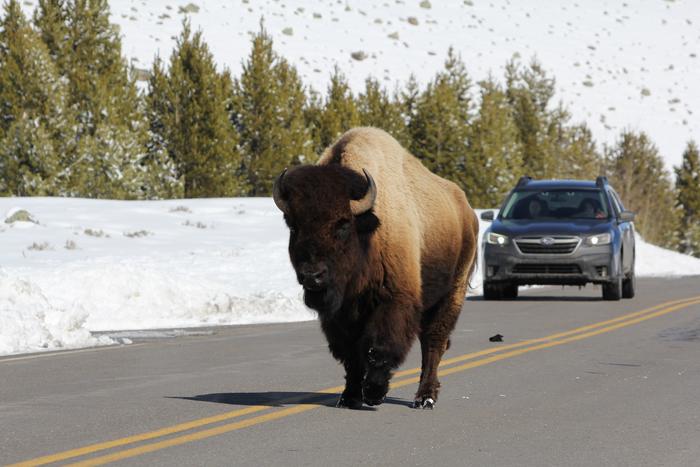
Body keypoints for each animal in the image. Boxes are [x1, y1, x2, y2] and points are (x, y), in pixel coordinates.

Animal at [273, 127, 478, 409]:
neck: (367, 230)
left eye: (343, 225)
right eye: (294, 227)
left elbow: (378, 348)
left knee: (433, 342)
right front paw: (349, 396)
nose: (312, 276)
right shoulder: (340, 316)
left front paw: (373, 393)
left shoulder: (394, 300)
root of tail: (467, 212)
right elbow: (351, 354)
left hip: (452, 292)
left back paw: (425, 397)